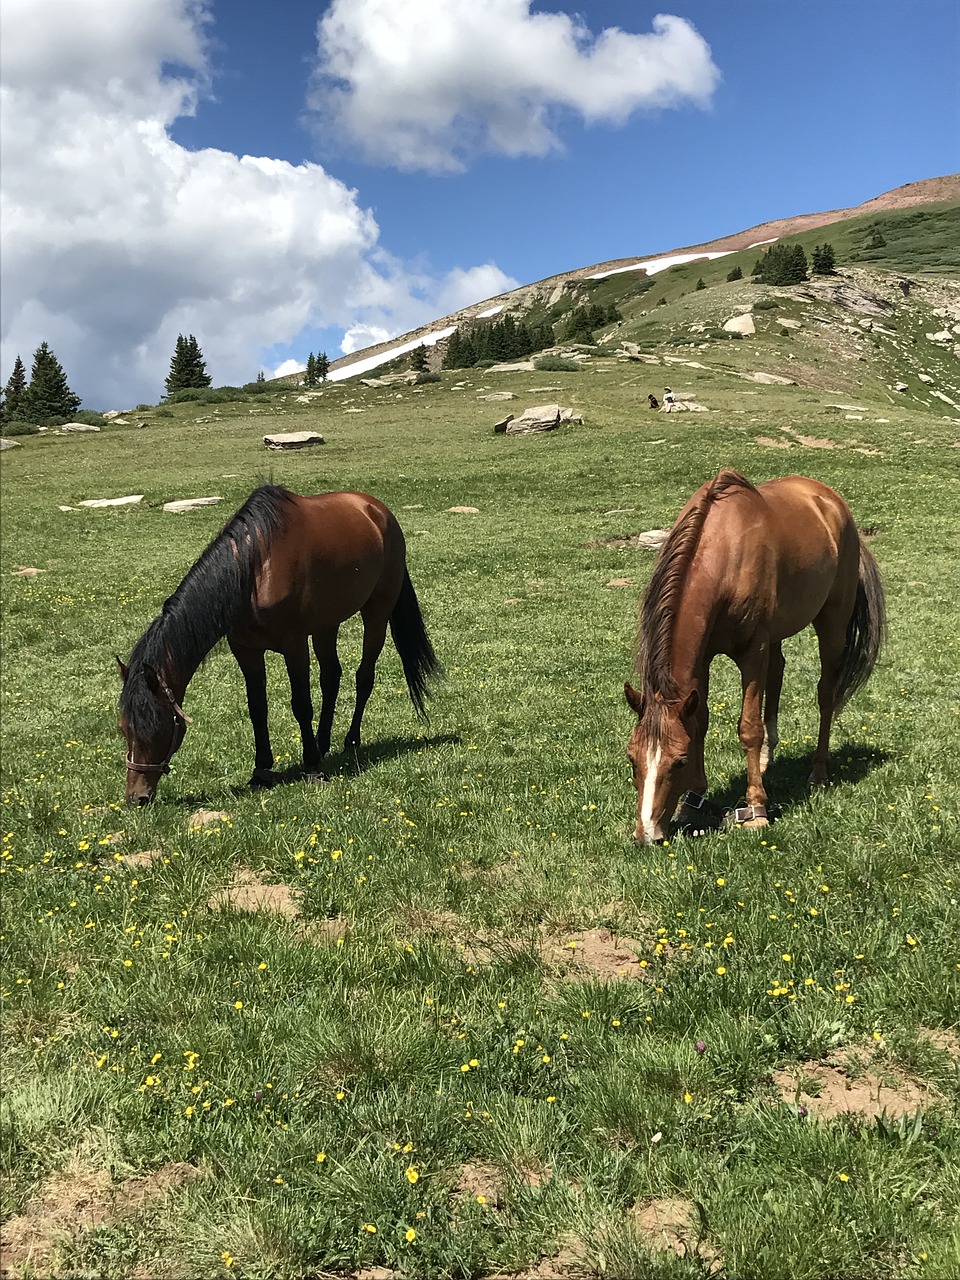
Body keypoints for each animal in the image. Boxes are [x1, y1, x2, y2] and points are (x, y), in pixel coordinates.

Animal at [116, 483, 442, 803]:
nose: (136, 797)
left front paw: (311, 767)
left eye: (157, 725)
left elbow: (301, 705)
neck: (253, 570)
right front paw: (261, 770)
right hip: (326, 625)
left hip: (377, 611)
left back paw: (350, 740)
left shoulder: (294, 645)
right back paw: (323, 743)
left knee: (364, 676)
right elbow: (257, 708)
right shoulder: (245, 650)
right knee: (331, 677)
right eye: (123, 728)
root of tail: (377, 510)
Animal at [624, 468, 885, 839]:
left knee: (826, 694)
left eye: (679, 761)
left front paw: (757, 810)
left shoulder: (752, 652)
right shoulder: (704, 658)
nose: (647, 835)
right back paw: (765, 761)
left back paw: (818, 772)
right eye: (633, 759)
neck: (724, 552)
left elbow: (749, 727)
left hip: (831, 623)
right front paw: (694, 801)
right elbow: (701, 719)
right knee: (778, 672)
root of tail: (831, 501)